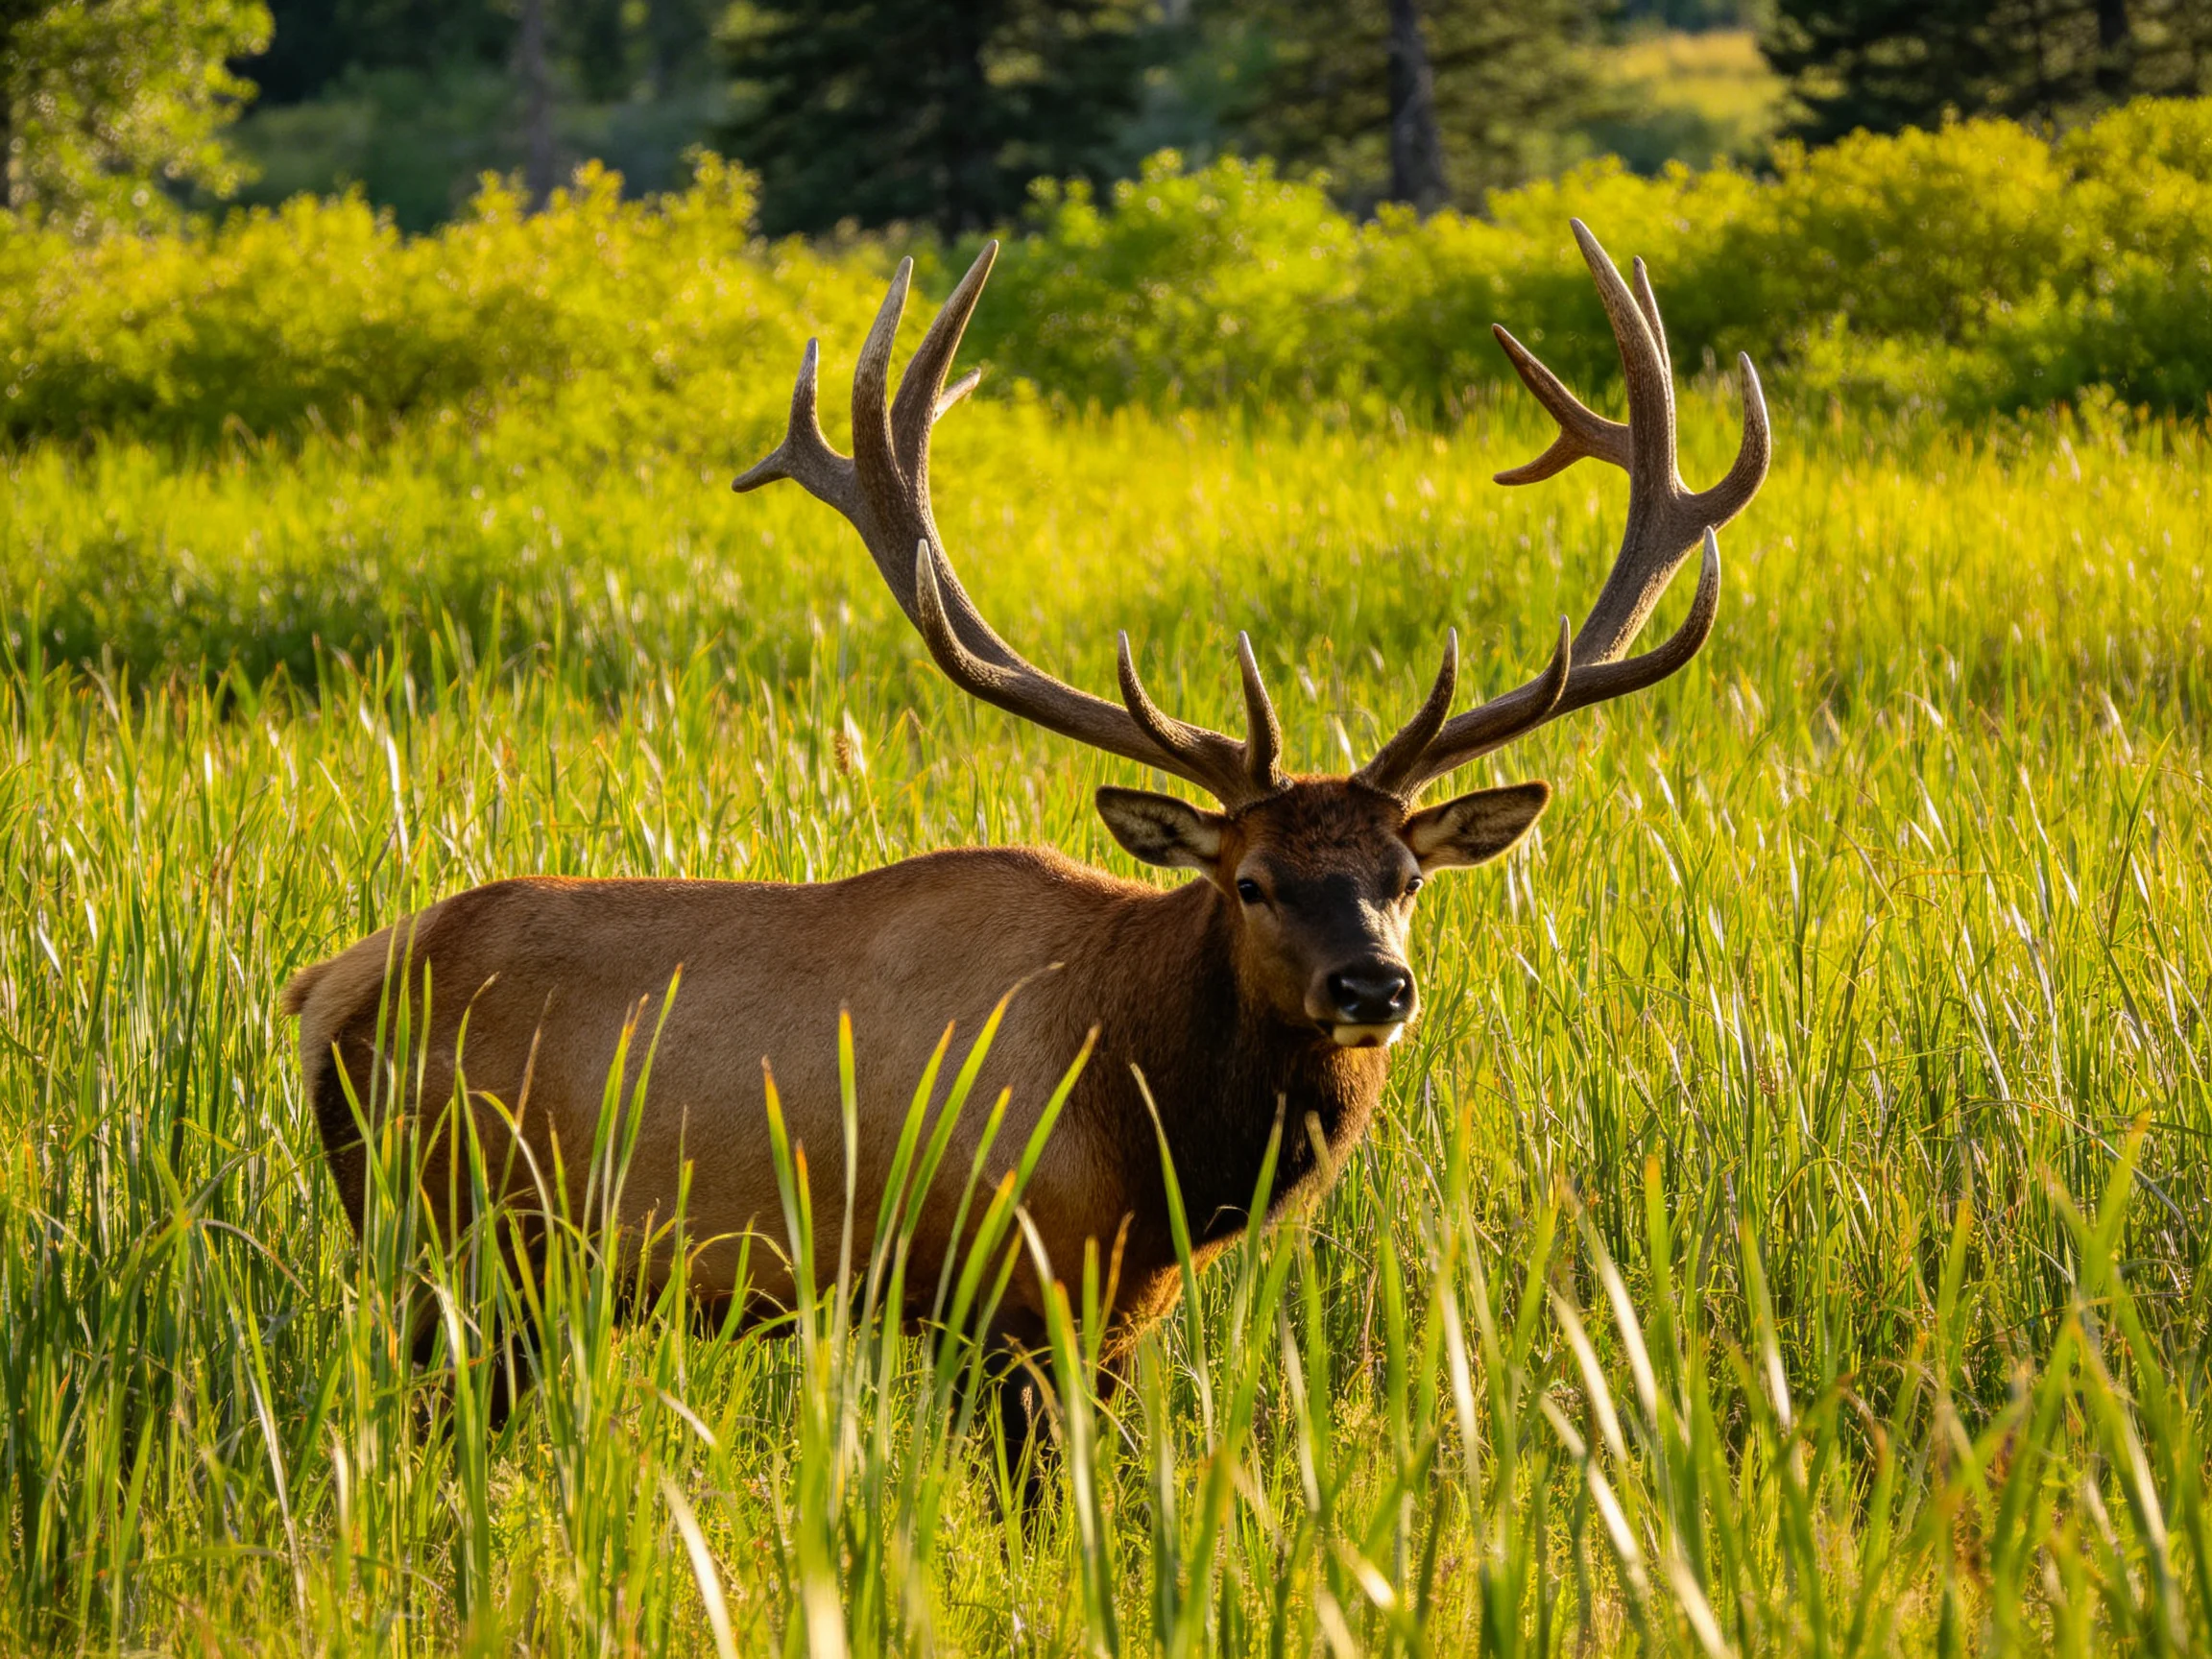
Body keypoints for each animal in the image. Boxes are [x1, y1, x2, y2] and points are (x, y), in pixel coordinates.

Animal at [282, 220, 1768, 1468]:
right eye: (1252, 882)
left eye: (1405, 880)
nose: (1373, 986)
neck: (1152, 1127)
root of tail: (320, 991)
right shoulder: (1005, 1287)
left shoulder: (1118, 1309)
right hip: (455, 1240)